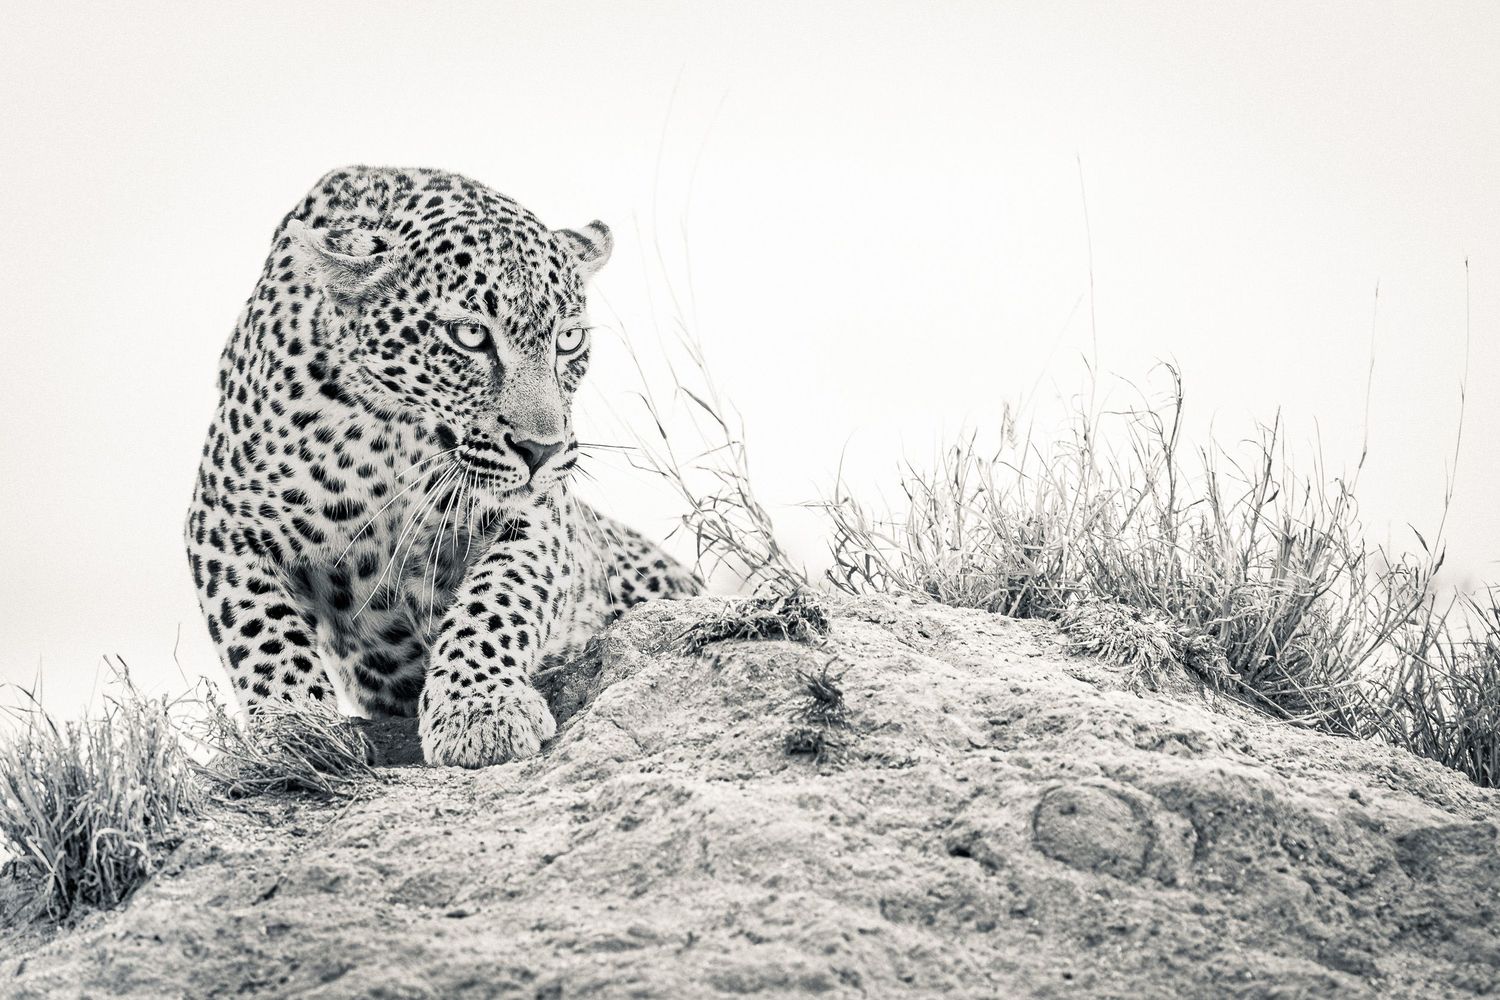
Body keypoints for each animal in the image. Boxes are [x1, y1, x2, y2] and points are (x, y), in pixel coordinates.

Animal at [185, 166, 700, 768]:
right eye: (470, 335)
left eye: (568, 340)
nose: (542, 450)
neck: (389, 436)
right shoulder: (223, 522)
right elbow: (262, 633)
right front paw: (297, 735)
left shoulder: (541, 515)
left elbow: (499, 596)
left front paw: (478, 710)